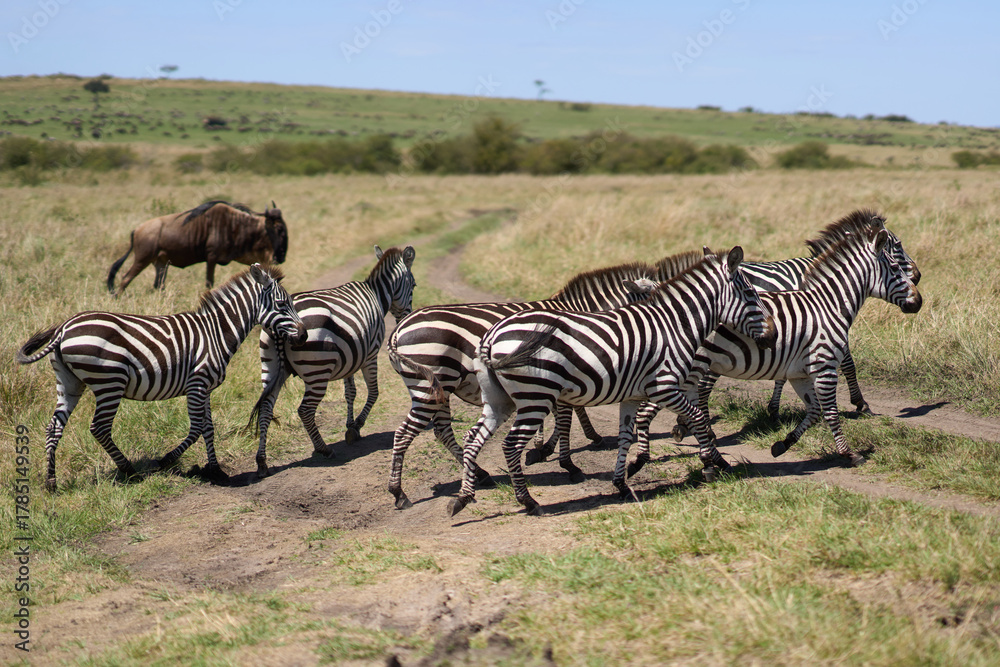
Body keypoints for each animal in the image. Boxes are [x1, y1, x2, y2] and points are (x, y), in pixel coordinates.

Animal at [16, 264, 306, 491]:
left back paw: (51, 482)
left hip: (69, 383)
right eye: (282, 305)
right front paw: (166, 461)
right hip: (110, 382)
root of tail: (63, 329)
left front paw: (216, 470)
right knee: (99, 427)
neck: (216, 332)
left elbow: (209, 428)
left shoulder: (205, 388)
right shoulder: (197, 383)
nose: (304, 335)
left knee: (54, 427)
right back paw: (129, 471)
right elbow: (197, 428)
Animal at [249, 245, 416, 478]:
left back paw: (262, 462)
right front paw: (356, 427)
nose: (405, 318)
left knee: (266, 407)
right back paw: (323, 449)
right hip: (316, 372)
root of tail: (280, 327)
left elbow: (350, 392)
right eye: (414, 285)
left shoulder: (351, 355)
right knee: (305, 411)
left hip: (271, 367)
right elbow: (374, 392)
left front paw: (350, 424)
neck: (376, 294)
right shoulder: (370, 354)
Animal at [385, 251, 704, 510]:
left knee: (441, 431)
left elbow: (570, 412)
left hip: (439, 389)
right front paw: (564, 459)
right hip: (431, 386)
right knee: (405, 434)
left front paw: (548, 447)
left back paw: (479, 475)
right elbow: (566, 417)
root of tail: (399, 330)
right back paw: (400, 493)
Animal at [448, 247, 777, 517]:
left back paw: (463, 498)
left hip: (499, 400)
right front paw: (713, 464)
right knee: (511, 444)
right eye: (751, 294)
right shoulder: (665, 387)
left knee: (473, 437)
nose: (773, 337)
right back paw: (528, 501)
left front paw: (622, 484)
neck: (674, 325)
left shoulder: (632, 395)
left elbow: (625, 436)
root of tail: (492, 335)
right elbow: (698, 418)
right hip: (534, 397)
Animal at [633, 224, 922, 473]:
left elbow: (814, 411)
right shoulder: (825, 365)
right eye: (895, 266)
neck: (829, 304)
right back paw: (646, 459)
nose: (919, 301)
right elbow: (831, 411)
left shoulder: (799, 372)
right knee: (650, 409)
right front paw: (850, 452)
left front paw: (782, 444)